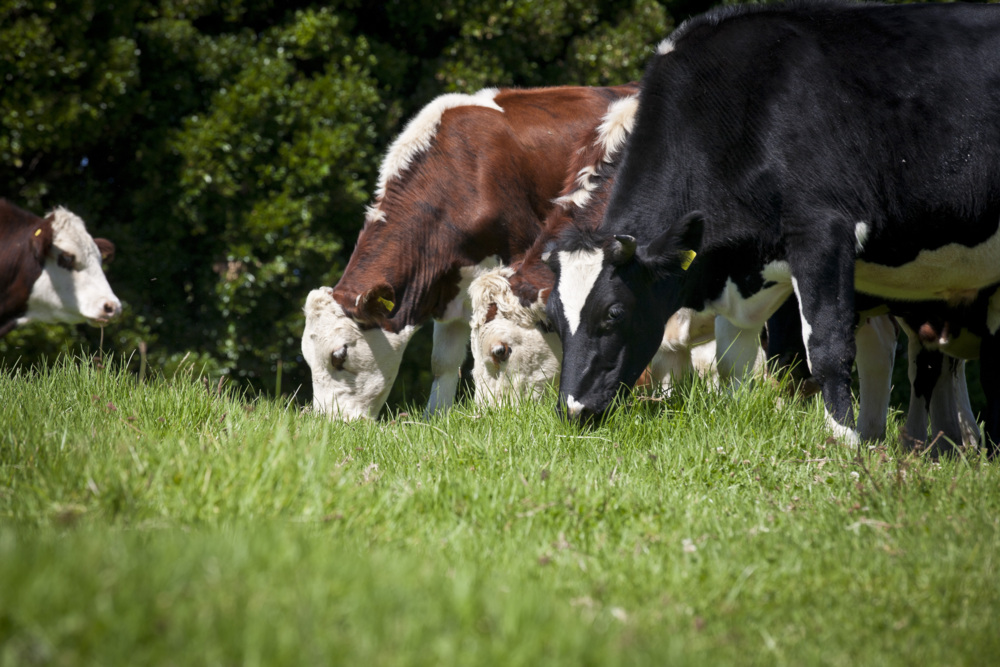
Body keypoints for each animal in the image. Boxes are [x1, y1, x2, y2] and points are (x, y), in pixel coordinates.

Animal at [300, 83, 636, 418]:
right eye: (307, 359)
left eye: (339, 355)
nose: (328, 421)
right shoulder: (446, 289)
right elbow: (443, 362)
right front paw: (435, 416)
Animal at [544, 2, 1000, 452]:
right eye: (553, 317)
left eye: (614, 312)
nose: (572, 409)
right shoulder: (741, 272)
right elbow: (732, 363)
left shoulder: (824, 233)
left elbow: (827, 348)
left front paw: (843, 443)